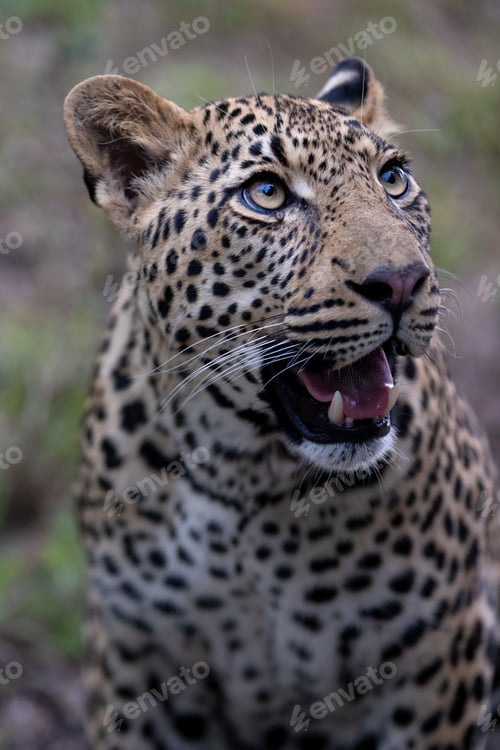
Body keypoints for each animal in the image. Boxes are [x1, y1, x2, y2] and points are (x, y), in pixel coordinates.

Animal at [64, 56, 498, 750]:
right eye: (265, 194)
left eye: (393, 179)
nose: (404, 281)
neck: (247, 472)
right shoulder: (134, 658)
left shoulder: (440, 658)